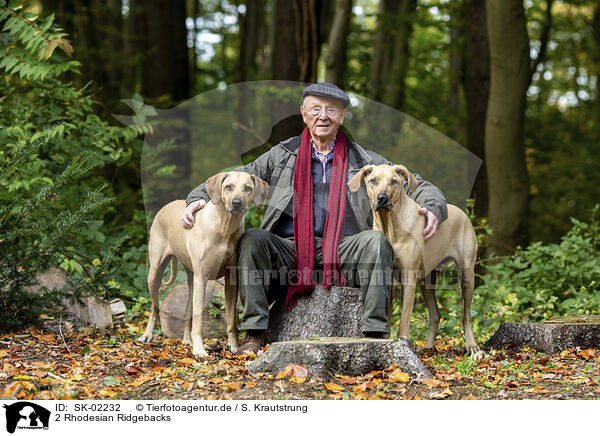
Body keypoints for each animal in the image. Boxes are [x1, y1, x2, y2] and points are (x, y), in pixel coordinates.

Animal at [137, 170, 268, 358]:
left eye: (248, 188)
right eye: (228, 187)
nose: (236, 203)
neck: (225, 226)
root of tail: (167, 204)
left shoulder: (231, 280)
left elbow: (231, 318)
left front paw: (234, 346)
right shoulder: (202, 277)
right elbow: (198, 319)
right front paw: (199, 350)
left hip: (191, 280)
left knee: (186, 310)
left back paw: (186, 340)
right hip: (155, 272)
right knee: (155, 307)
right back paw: (148, 335)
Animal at [346, 165, 478, 352]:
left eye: (394, 181)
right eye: (373, 180)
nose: (382, 198)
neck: (390, 227)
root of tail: (462, 212)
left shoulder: (409, 278)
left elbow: (404, 317)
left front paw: (402, 340)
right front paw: (383, 340)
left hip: (467, 274)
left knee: (466, 314)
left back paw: (471, 345)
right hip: (426, 280)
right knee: (435, 314)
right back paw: (428, 346)